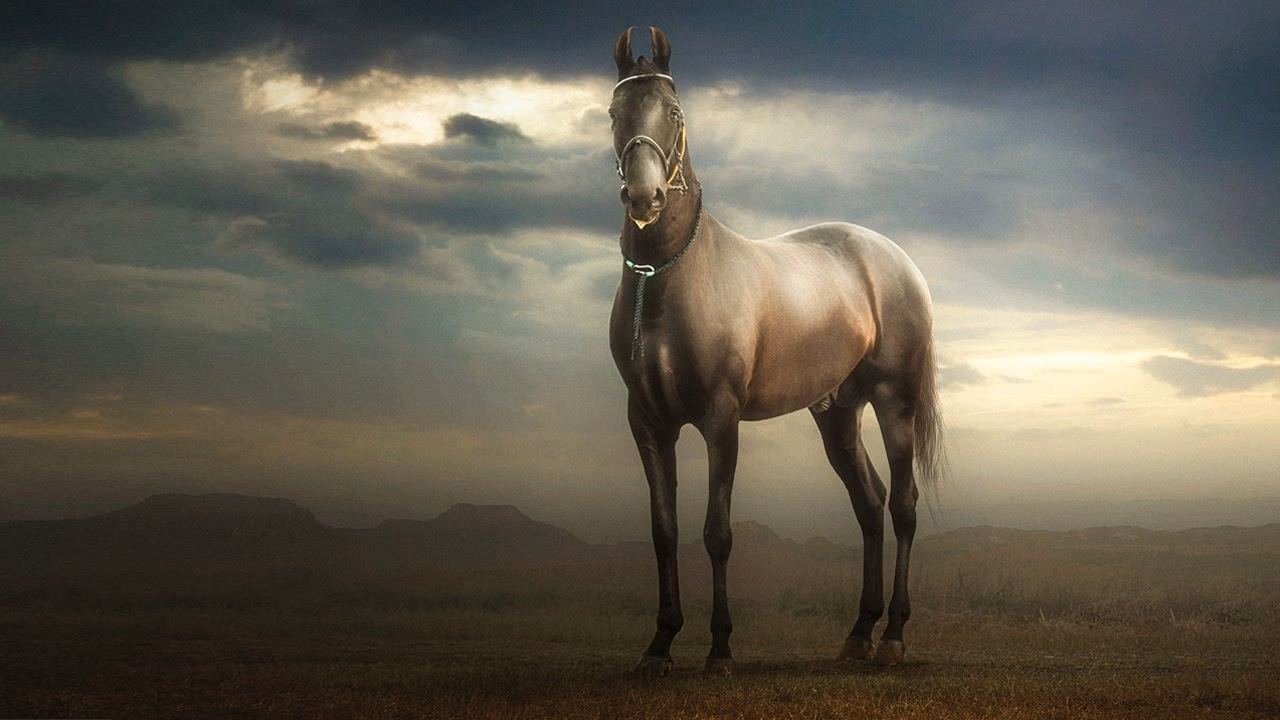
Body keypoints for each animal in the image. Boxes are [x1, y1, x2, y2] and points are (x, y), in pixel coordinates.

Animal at [607, 26, 944, 676]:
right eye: (615, 112)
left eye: (675, 111)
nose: (645, 197)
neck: (668, 279)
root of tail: (895, 258)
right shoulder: (648, 423)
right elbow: (664, 531)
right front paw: (659, 646)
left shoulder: (721, 418)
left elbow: (717, 531)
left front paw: (720, 650)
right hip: (837, 413)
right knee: (869, 504)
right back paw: (858, 634)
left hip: (895, 402)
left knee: (903, 505)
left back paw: (892, 636)